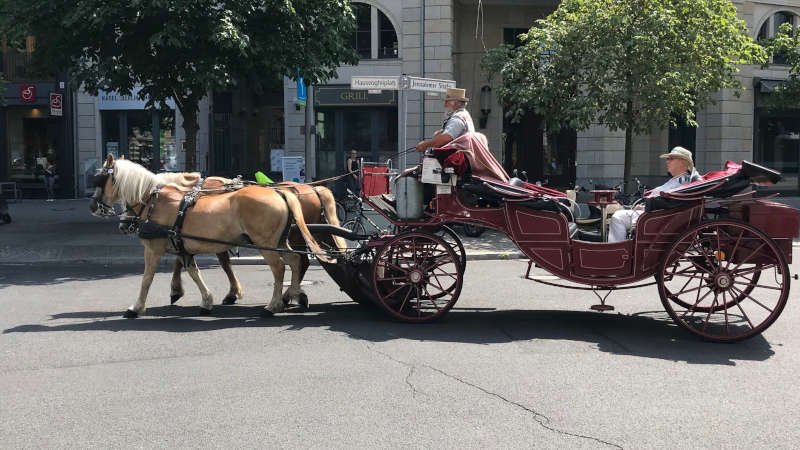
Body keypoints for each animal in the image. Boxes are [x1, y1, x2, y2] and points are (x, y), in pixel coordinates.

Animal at [90, 156, 332, 318]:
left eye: (100, 180)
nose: (93, 206)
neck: (154, 202)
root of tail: (280, 192)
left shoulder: (153, 249)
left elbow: (147, 278)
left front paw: (136, 307)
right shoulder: (183, 246)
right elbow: (193, 272)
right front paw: (206, 300)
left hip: (266, 243)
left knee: (281, 268)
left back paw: (274, 304)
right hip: (281, 241)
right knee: (296, 261)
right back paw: (293, 294)